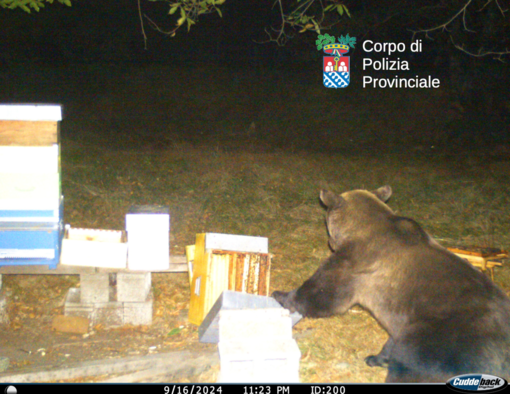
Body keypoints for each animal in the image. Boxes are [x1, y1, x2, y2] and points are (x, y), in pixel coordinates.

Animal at [272, 186, 510, 384]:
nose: (329, 242)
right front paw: (376, 357)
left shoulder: (353, 266)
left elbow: (323, 294)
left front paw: (281, 294)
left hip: (444, 336)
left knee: (412, 362)